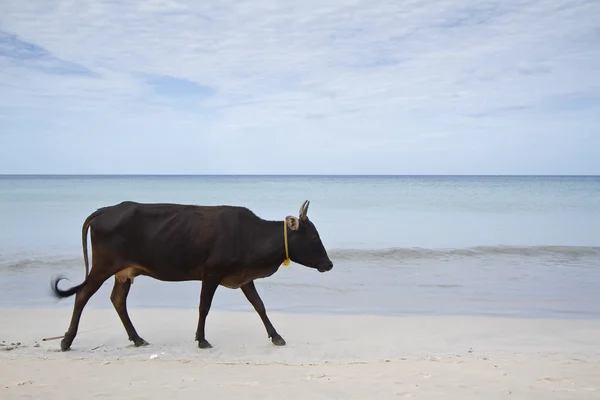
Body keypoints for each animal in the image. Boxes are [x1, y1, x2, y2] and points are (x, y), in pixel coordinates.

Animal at [51, 199, 332, 350]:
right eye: (314, 237)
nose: (329, 264)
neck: (249, 235)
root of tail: (107, 209)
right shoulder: (211, 273)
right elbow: (204, 307)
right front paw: (202, 340)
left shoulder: (244, 277)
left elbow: (259, 306)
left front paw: (276, 336)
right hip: (102, 267)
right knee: (82, 295)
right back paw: (66, 341)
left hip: (123, 272)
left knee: (118, 300)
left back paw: (138, 339)